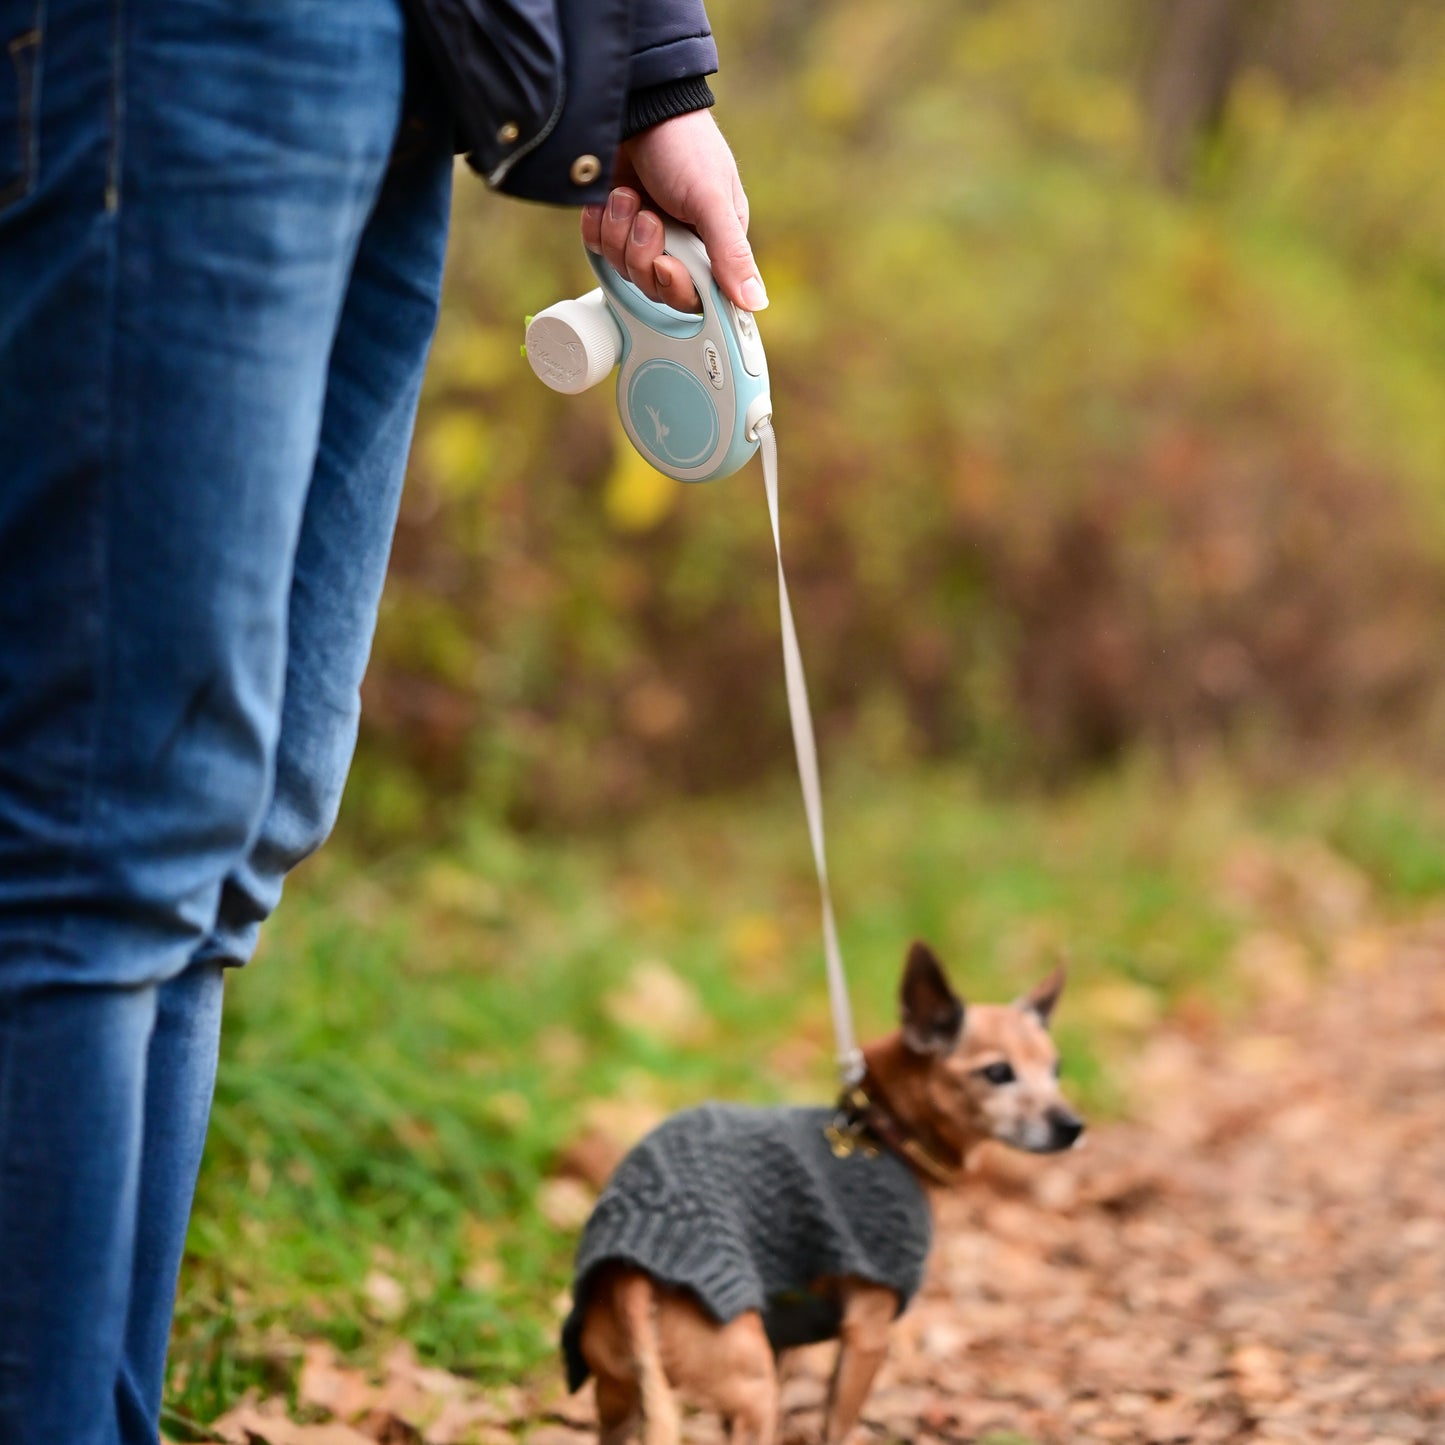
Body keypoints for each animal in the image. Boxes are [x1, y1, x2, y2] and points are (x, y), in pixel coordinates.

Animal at [563, 942, 1086, 1445]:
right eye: (998, 1073)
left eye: (1056, 1071)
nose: (1073, 1126)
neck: (883, 1130)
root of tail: (632, 1271)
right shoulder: (866, 1336)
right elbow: (836, 1424)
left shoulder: (780, 1345)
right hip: (753, 1391)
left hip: (624, 1398)